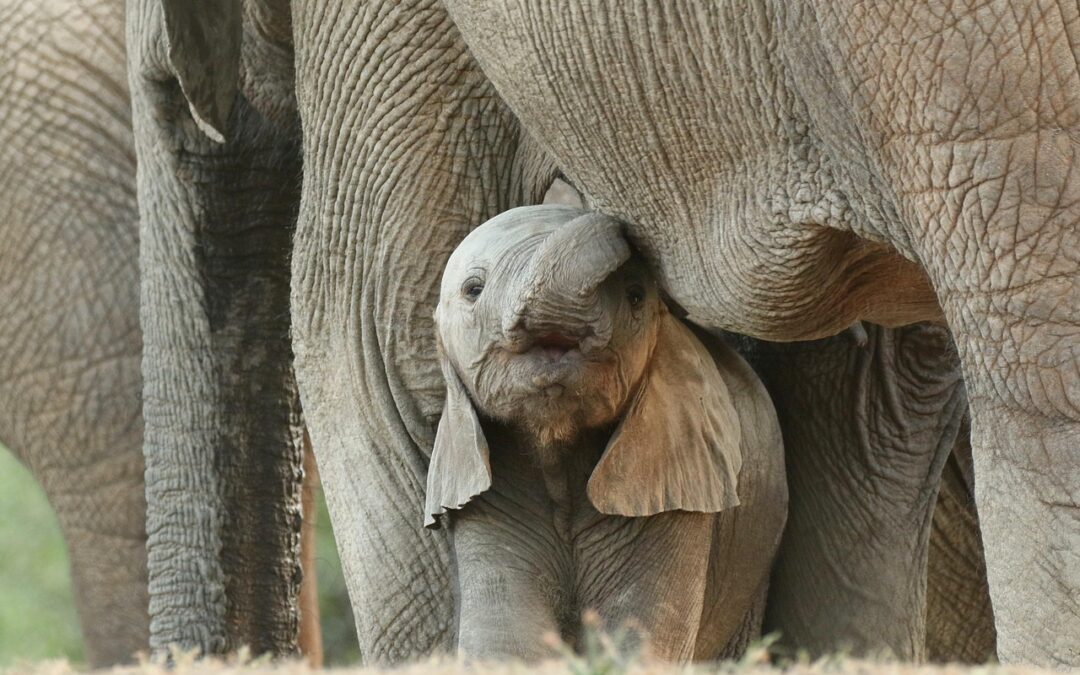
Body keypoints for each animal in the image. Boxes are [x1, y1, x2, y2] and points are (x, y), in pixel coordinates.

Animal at [425, 204, 790, 656]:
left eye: (635, 297)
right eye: (473, 290)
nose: (614, 218)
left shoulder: (676, 491)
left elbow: (640, 634)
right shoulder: (486, 497)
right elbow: (505, 641)